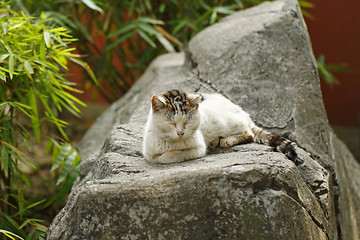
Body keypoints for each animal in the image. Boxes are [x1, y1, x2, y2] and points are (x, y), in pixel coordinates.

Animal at [142, 89, 296, 164]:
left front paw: (166, 155)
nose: (180, 133)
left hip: (228, 122)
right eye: (172, 123)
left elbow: (171, 155)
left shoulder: (198, 149)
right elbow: (155, 157)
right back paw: (215, 141)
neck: (171, 142)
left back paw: (227, 140)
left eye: (187, 122)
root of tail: (242, 111)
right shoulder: (148, 152)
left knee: (249, 133)